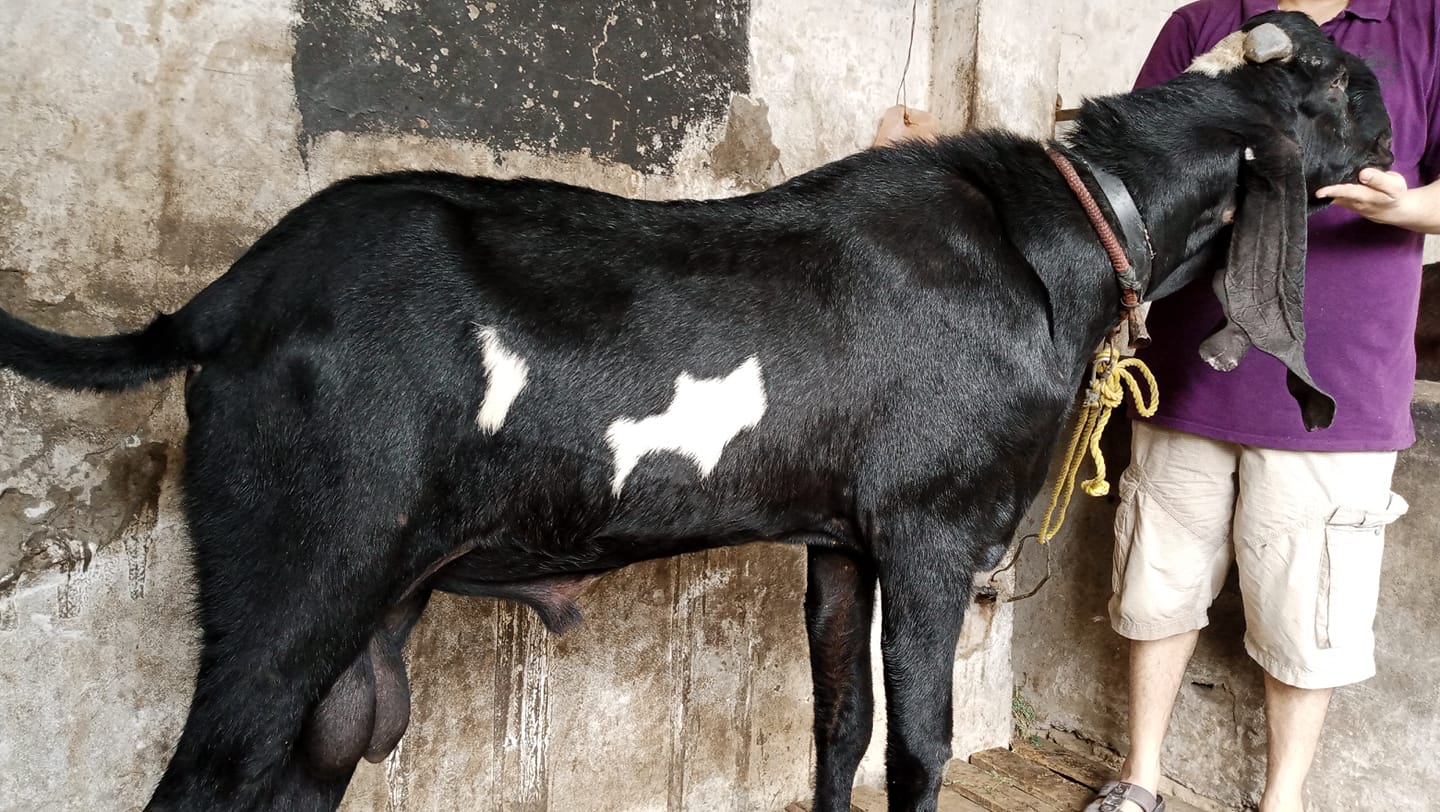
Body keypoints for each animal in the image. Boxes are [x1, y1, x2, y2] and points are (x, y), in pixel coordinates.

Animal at [0, 11, 1393, 812]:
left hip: (364, 613)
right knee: (209, 771)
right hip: (295, 559)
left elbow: (839, 728)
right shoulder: (931, 526)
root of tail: (221, 301)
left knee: (323, 743)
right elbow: (921, 742)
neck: (1072, 220)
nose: (1394, 115)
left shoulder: (839, 536)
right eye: (1330, 89)